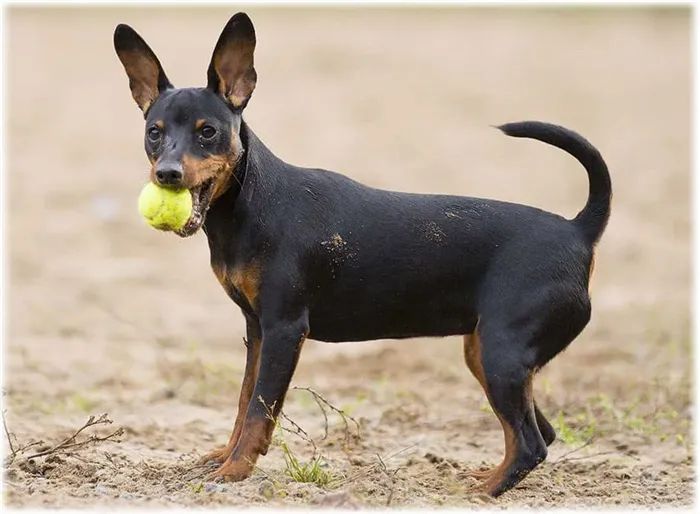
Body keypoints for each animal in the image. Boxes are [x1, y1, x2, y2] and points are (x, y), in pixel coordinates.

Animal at [115, 11, 612, 492]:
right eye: (154, 132)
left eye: (208, 132)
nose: (167, 173)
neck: (252, 203)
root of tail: (578, 230)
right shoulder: (256, 331)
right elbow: (243, 403)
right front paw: (225, 456)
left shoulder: (284, 330)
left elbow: (258, 410)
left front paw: (234, 472)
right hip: (486, 352)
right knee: (540, 432)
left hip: (501, 354)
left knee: (531, 443)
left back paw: (481, 492)